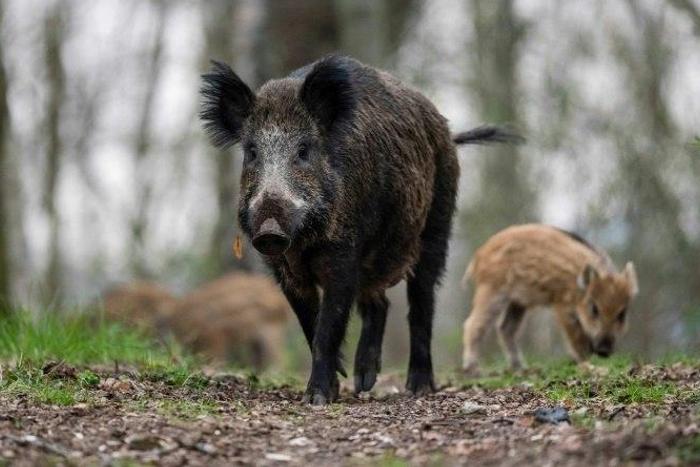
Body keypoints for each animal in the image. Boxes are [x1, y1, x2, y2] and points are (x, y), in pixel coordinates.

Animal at [200, 54, 521, 404]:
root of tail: (447, 132)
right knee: (378, 303)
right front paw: (335, 385)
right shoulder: (283, 268)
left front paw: (318, 398)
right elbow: (310, 324)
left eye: (304, 150)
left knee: (421, 305)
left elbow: (328, 327)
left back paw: (418, 387)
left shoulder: (344, 254)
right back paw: (364, 382)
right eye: (252, 152)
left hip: (437, 227)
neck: (305, 243)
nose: (270, 227)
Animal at [461, 224, 639, 375]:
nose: (604, 351)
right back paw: (474, 370)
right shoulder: (562, 304)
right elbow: (578, 339)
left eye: (622, 314)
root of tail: (478, 256)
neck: (578, 288)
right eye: (594, 309)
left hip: (517, 302)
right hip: (492, 290)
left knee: (506, 328)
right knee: (474, 324)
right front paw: (587, 364)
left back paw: (520, 368)